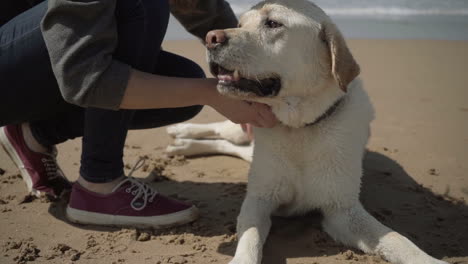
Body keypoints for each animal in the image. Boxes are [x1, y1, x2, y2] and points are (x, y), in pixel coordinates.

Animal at [166, 0, 448, 264]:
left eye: (272, 24)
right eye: (241, 23)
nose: (211, 38)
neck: (299, 128)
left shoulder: (342, 211)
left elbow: (396, 239)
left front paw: (428, 259)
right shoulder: (259, 198)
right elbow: (250, 236)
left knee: (235, 146)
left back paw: (184, 145)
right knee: (225, 132)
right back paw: (182, 132)